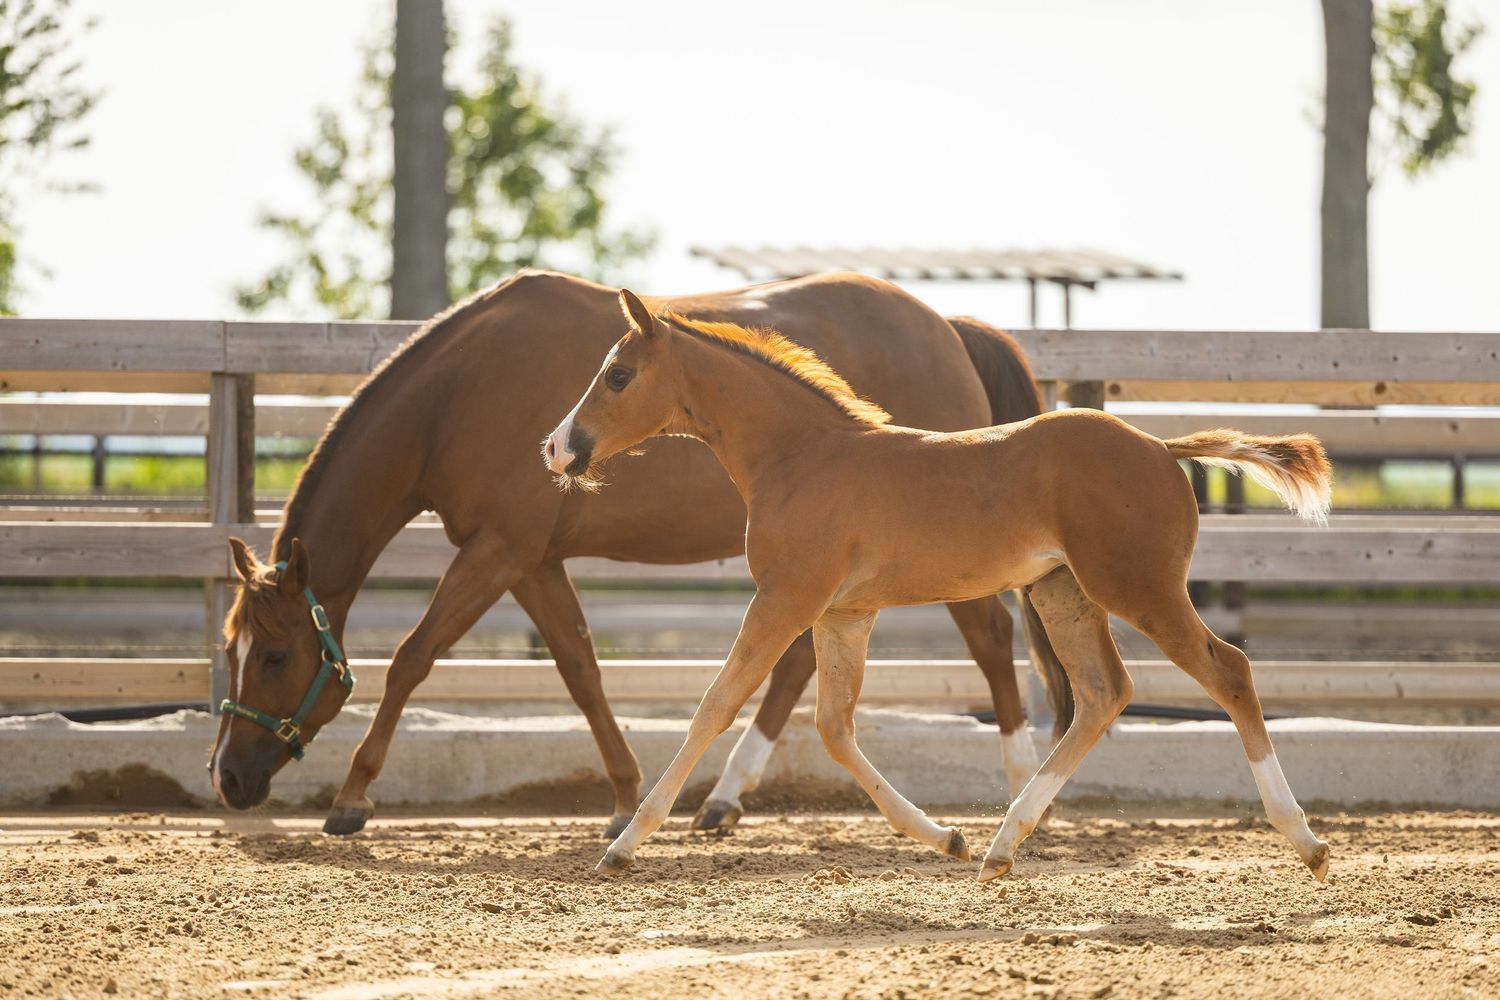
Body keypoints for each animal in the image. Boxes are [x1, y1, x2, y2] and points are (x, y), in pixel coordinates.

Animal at [207, 269, 1070, 839]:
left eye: (276, 656)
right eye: (232, 649)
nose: (229, 777)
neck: (457, 396)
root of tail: (949, 327)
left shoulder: (499, 549)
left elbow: (414, 658)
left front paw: (353, 797)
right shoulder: (533, 561)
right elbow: (580, 669)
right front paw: (626, 798)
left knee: (991, 641)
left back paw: (1022, 787)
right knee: (796, 663)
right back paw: (723, 798)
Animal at [545, 290, 1335, 882]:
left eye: (618, 374)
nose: (556, 447)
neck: (803, 456)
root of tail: (1160, 448)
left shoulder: (785, 599)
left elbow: (716, 704)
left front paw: (623, 844)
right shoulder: (843, 614)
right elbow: (834, 726)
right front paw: (945, 838)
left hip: (1139, 588)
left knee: (1228, 671)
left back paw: (1306, 841)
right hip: (1064, 594)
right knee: (1102, 694)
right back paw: (1000, 845)